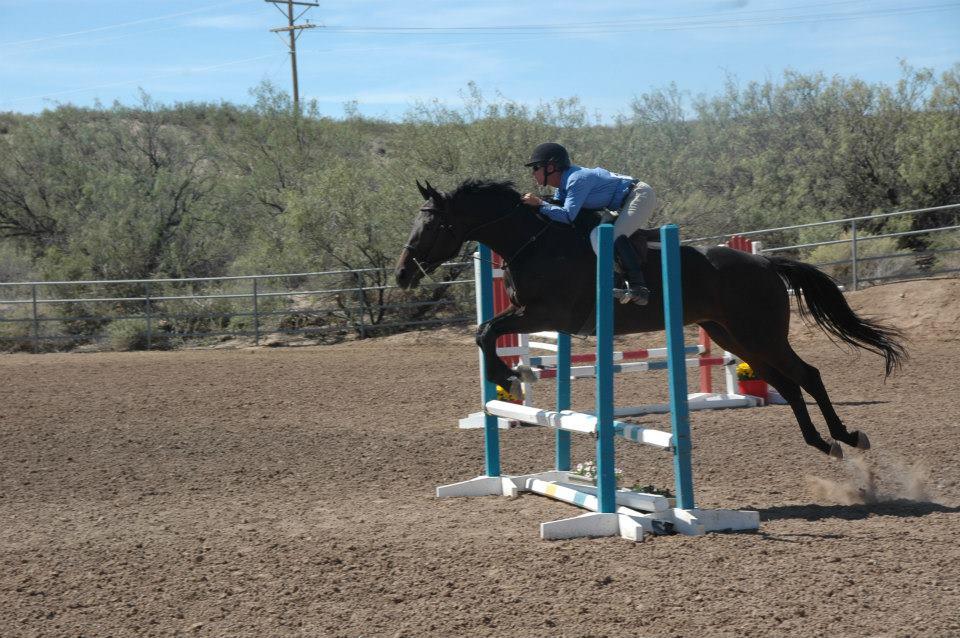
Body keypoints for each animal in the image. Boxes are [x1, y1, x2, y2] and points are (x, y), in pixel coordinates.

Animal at [395, 179, 907, 459]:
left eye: (432, 223)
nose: (402, 274)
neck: (535, 241)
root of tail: (763, 261)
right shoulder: (533, 315)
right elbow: (485, 332)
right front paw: (509, 378)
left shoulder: (543, 313)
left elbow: (486, 332)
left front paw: (507, 377)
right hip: (734, 337)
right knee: (787, 383)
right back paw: (823, 443)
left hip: (760, 333)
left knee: (807, 375)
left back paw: (847, 436)